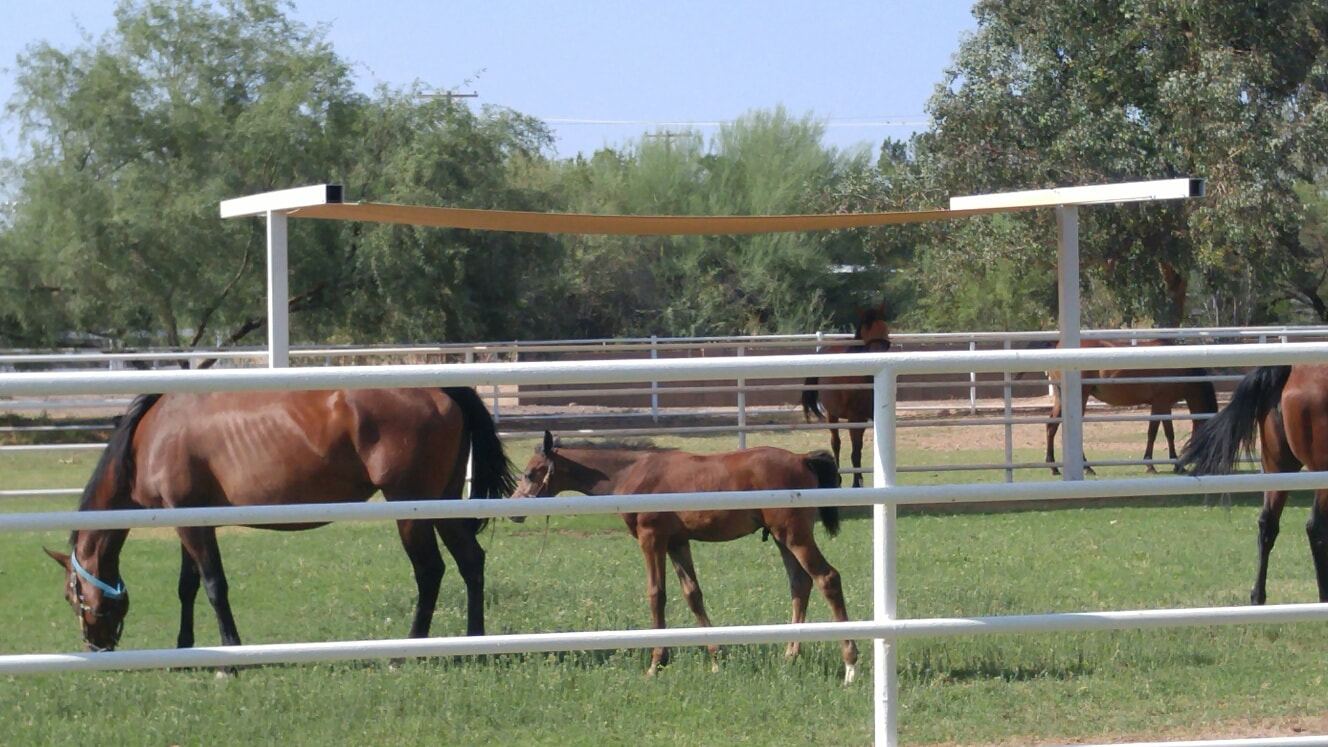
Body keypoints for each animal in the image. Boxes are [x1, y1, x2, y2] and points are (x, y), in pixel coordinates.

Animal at [44, 386, 515, 653]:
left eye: (70, 595)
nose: (96, 646)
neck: (149, 437)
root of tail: (442, 391)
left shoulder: (192, 523)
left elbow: (214, 587)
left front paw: (230, 658)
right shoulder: (190, 521)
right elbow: (187, 587)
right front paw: (184, 649)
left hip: (411, 506)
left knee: (430, 571)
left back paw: (410, 649)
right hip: (444, 502)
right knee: (471, 561)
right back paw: (474, 641)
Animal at [510, 431, 858, 684]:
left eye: (530, 473)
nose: (514, 511)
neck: (633, 473)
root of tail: (802, 459)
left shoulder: (652, 538)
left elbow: (656, 595)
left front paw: (655, 664)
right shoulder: (677, 542)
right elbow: (693, 594)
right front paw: (716, 657)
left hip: (793, 535)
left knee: (827, 578)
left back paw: (850, 665)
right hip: (782, 538)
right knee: (800, 584)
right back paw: (790, 655)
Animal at [801, 304, 892, 487]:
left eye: (885, 329)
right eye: (865, 332)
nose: (878, 353)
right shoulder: (855, 418)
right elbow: (855, 452)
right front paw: (856, 483)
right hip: (832, 415)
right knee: (836, 444)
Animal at [1043, 339, 1218, 475]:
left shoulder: (1163, 404)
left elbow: (1162, 432)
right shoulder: (1161, 402)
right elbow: (1159, 433)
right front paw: (1158, 465)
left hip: (1061, 398)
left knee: (1052, 426)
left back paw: (1054, 467)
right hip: (1081, 396)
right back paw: (1087, 467)